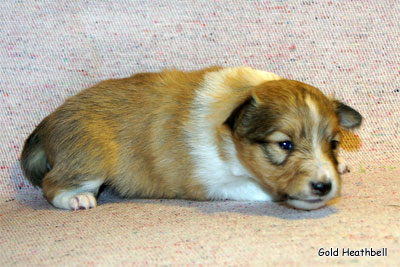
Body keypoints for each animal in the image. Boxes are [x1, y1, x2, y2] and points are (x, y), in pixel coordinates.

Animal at [19, 67, 362, 211]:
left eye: (333, 144)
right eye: (284, 145)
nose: (324, 186)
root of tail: (47, 122)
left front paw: (342, 166)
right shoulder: (211, 182)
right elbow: (260, 190)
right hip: (92, 155)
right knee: (52, 185)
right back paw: (77, 199)